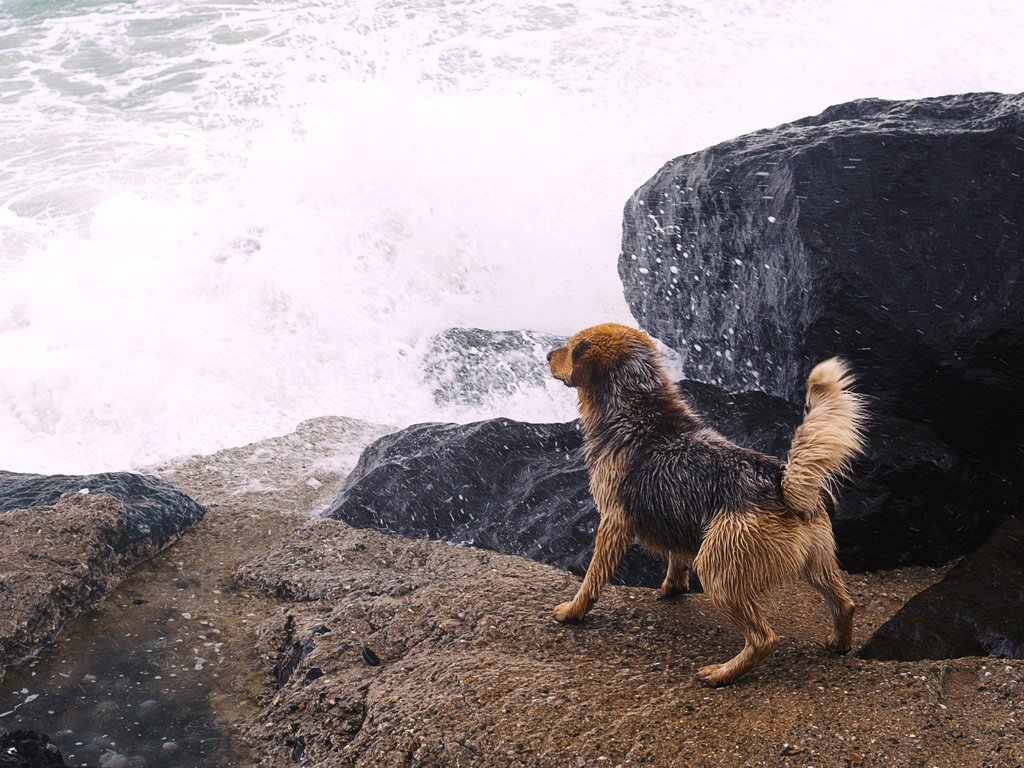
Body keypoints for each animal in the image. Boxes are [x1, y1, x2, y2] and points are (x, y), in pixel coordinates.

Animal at [544, 321, 864, 688]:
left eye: (572, 348)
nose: (547, 355)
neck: (636, 407)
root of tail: (782, 485)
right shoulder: (676, 517)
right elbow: (676, 558)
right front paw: (672, 588)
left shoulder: (613, 522)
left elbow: (593, 577)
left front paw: (573, 611)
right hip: (818, 561)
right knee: (845, 604)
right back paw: (838, 643)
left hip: (717, 568)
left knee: (764, 639)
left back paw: (722, 674)